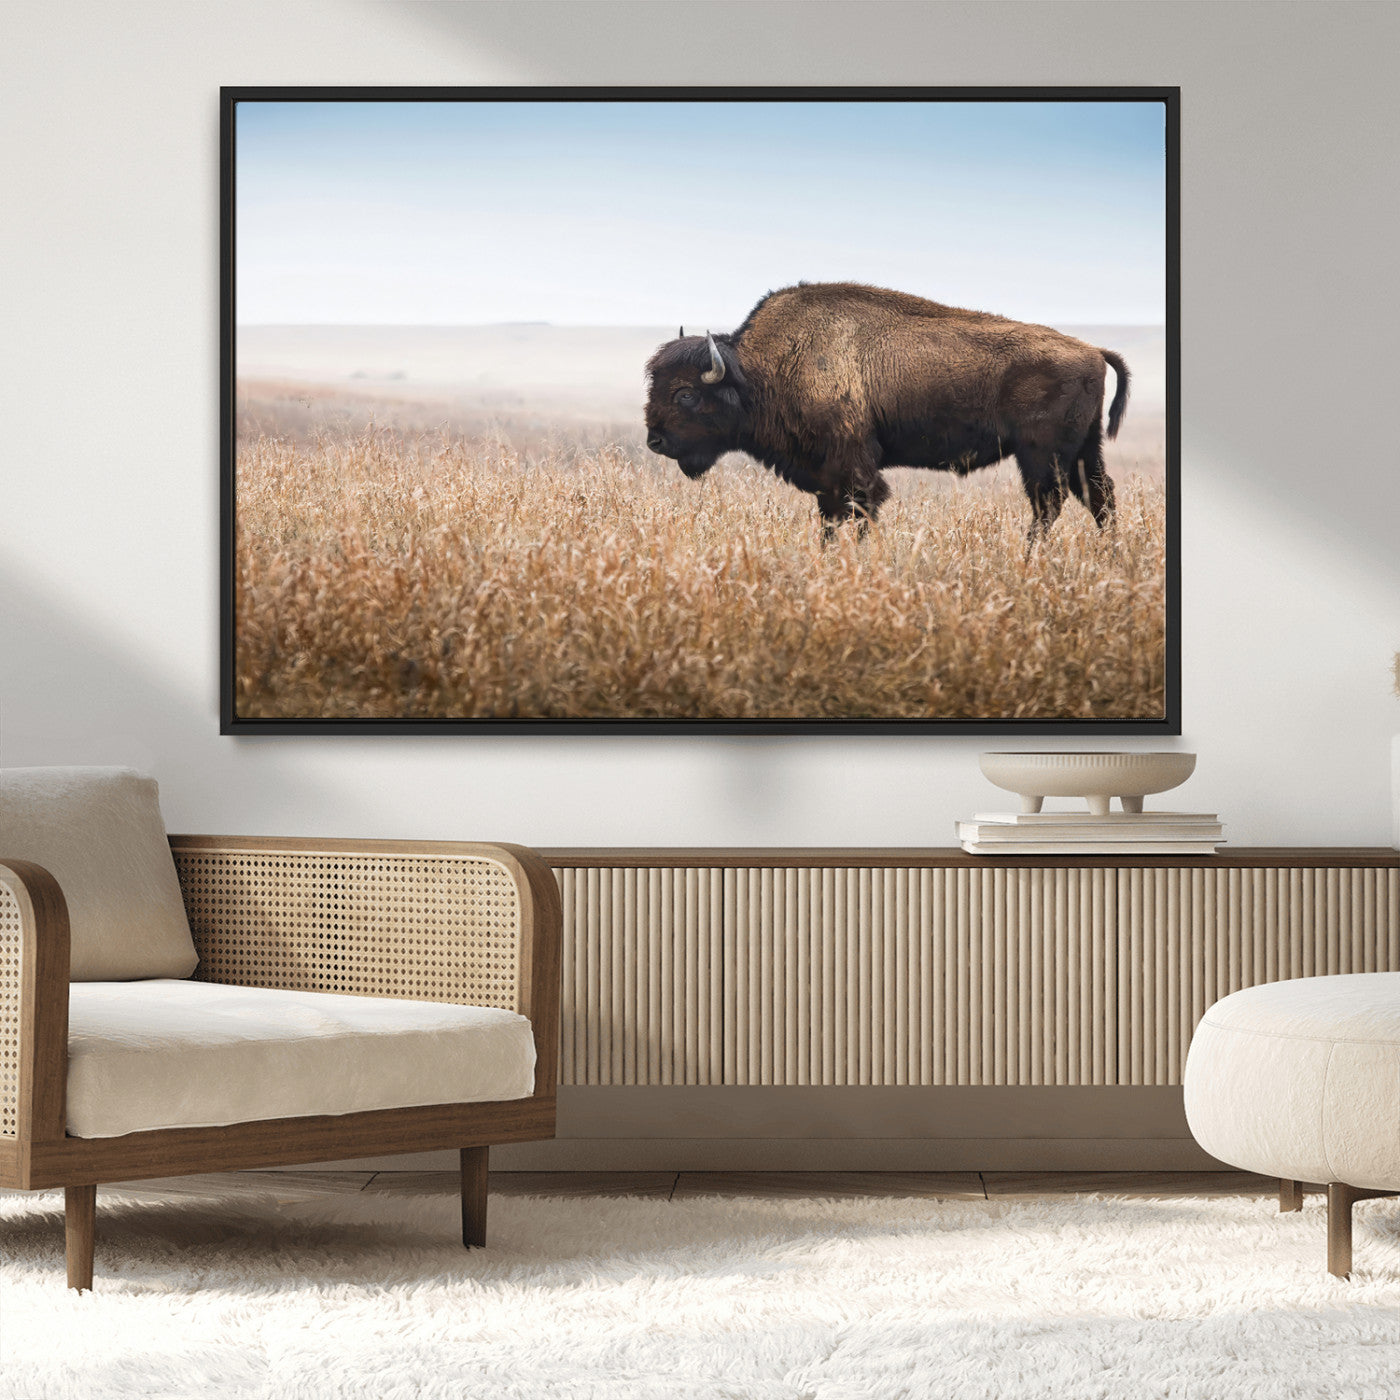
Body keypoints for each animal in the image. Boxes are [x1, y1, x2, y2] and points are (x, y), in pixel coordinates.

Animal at [644, 282, 1130, 543]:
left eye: (685, 394)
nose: (655, 441)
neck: (761, 370)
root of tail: (1092, 350)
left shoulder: (853, 467)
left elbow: (860, 510)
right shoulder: (826, 476)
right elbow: (831, 518)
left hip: (1041, 455)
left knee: (1050, 503)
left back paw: (1030, 558)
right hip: (1084, 450)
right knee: (1099, 497)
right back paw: (1109, 556)